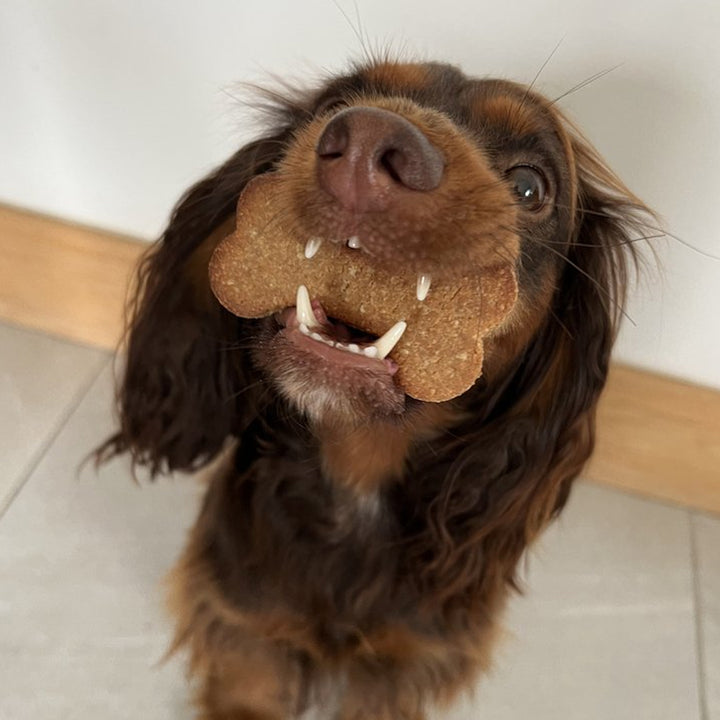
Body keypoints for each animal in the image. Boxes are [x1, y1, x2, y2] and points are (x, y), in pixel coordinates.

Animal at [100, 59, 652, 716]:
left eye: (529, 187)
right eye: (337, 104)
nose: (365, 142)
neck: (356, 480)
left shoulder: (400, 665)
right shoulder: (245, 626)